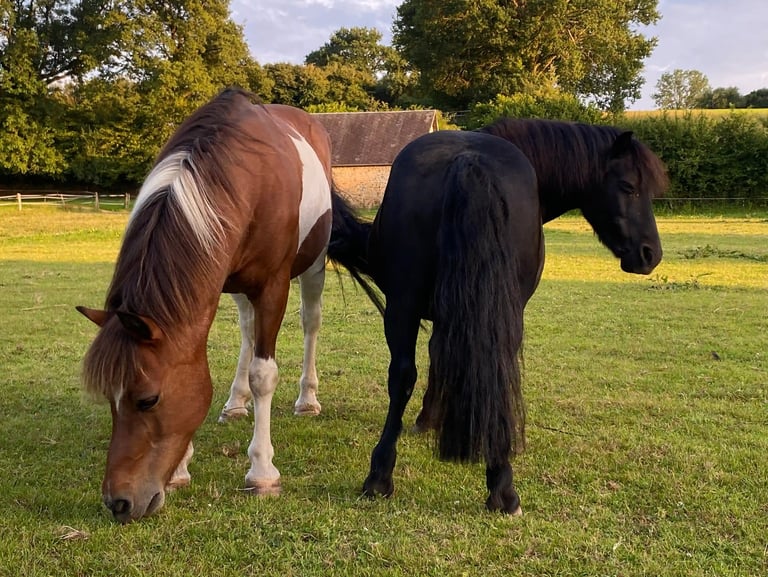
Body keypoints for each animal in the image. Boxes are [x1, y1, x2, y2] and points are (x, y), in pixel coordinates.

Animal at [77, 88, 337, 523]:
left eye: (148, 399)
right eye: (109, 399)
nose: (119, 503)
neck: (244, 176)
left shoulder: (273, 286)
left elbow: (264, 375)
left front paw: (262, 472)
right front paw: (182, 467)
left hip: (313, 266)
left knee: (310, 323)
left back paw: (307, 399)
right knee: (248, 332)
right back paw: (235, 403)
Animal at [328, 118, 668, 514]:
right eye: (629, 187)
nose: (650, 254)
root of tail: (470, 161)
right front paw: (430, 419)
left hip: (407, 305)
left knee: (406, 375)